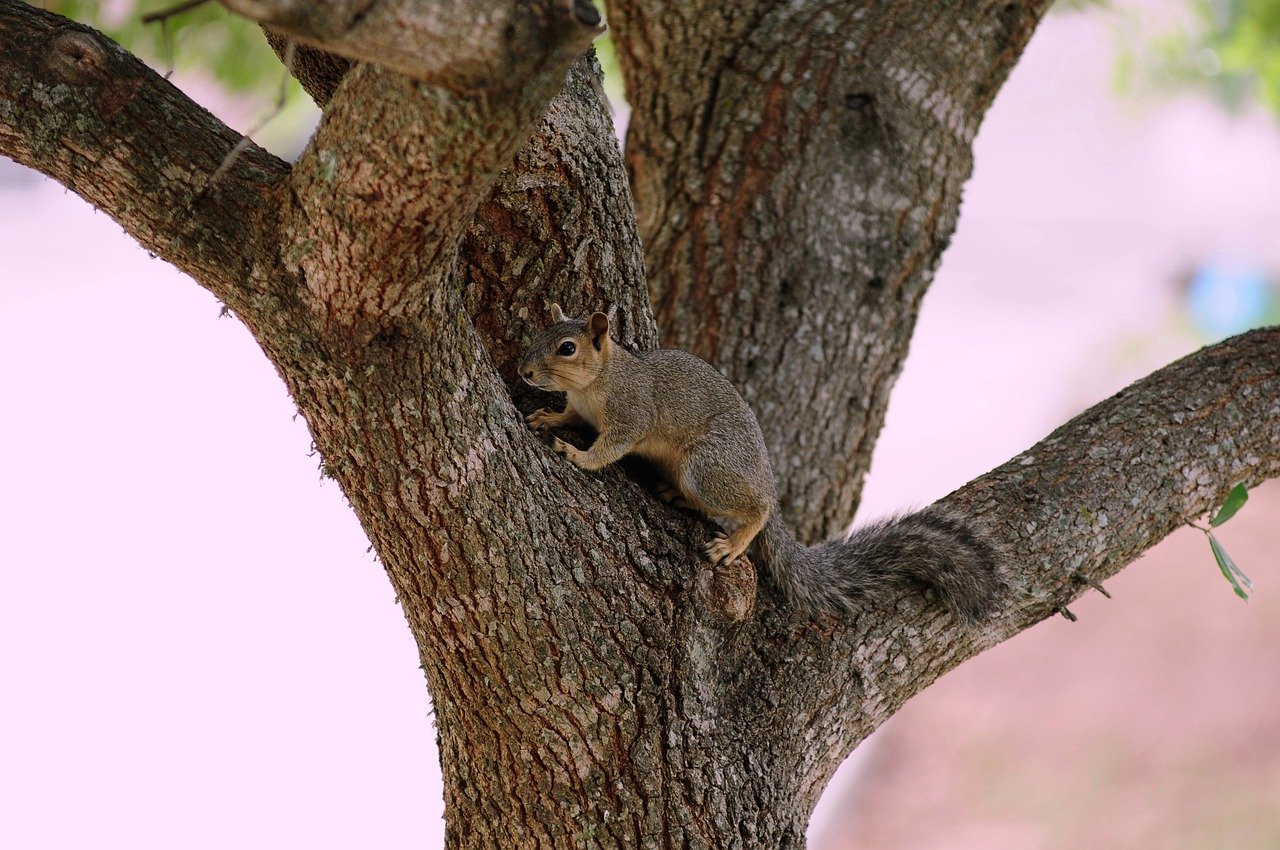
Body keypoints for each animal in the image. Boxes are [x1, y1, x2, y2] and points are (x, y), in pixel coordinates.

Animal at [519, 304, 1003, 623]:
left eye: (566, 348)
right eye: (537, 337)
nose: (524, 371)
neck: (596, 381)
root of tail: (766, 478)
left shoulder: (631, 413)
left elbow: (610, 448)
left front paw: (578, 455)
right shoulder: (581, 408)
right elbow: (569, 415)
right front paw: (548, 417)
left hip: (708, 466)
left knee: (757, 508)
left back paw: (735, 541)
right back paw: (675, 493)